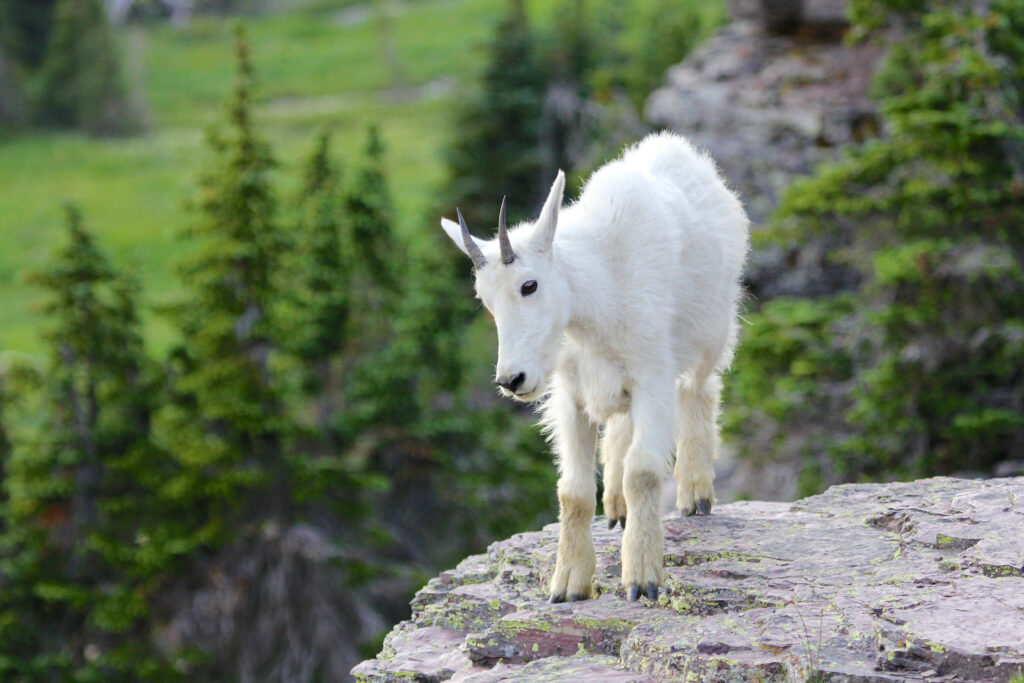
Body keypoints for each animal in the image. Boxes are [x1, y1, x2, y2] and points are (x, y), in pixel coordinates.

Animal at [436, 131, 749, 602]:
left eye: (530, 285)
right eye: (484, 300)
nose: (512, 380)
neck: (597, 299)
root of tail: (684, 152)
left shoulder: (652, 378)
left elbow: (643, 471)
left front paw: (641, 577)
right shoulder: (570, 395)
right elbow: (574, 491)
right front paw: (569, 583)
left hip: (711, 330)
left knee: (699, 390)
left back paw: (695, 492)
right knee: (620, 424)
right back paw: (616, 506)